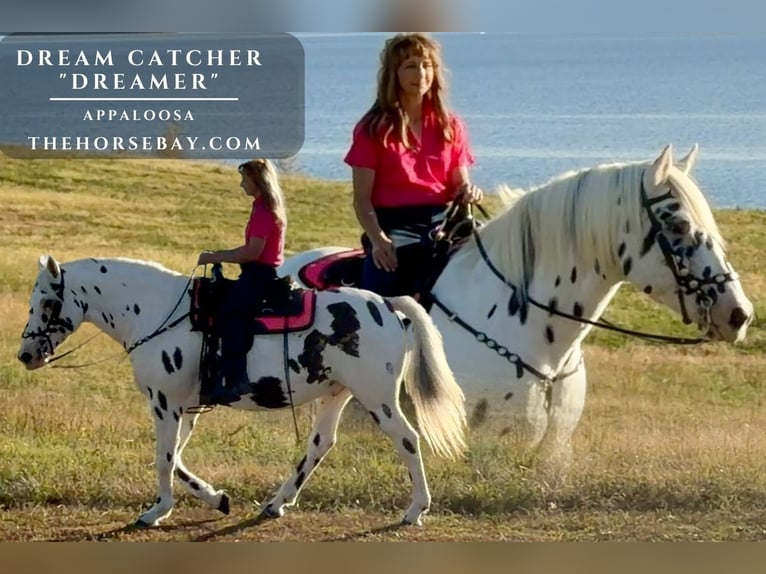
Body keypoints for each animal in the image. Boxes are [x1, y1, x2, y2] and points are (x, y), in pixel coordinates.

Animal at [17, 255, 467, 527]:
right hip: (336, 393)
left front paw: (156, 511)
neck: (155, 312)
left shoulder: (165, 404)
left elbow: (164, 460)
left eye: (47, 303)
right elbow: (176, 458)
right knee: (320, 445)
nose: (25, 354)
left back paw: (416, 509)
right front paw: (217, 498)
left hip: (378, 397)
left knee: (407, 439)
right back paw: (276, 503)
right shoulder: (186, 408)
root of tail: (387, 306)